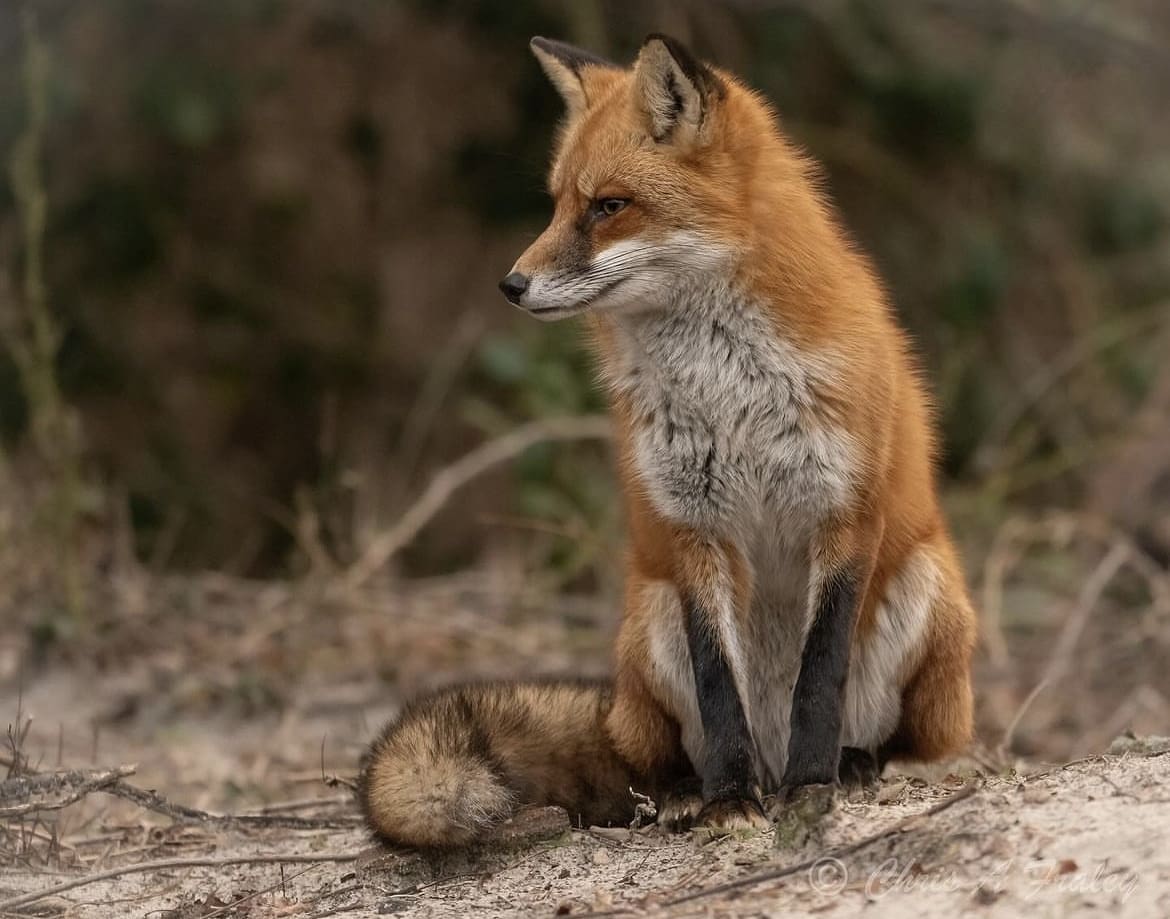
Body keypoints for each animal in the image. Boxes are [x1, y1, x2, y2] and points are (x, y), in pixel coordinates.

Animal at [359, 33, 977, 848]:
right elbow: (719, 689)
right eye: (557, 203)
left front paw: (814, 786)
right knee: (663, 759)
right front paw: (728, 801)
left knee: (899, 739)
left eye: (609, 206)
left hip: (929, 597)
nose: (511, 285)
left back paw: (850, 765)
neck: (730, 390)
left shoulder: (844, 512)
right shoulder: (692, 526)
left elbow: (820, 675)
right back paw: (695, 791)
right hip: (649, 626)